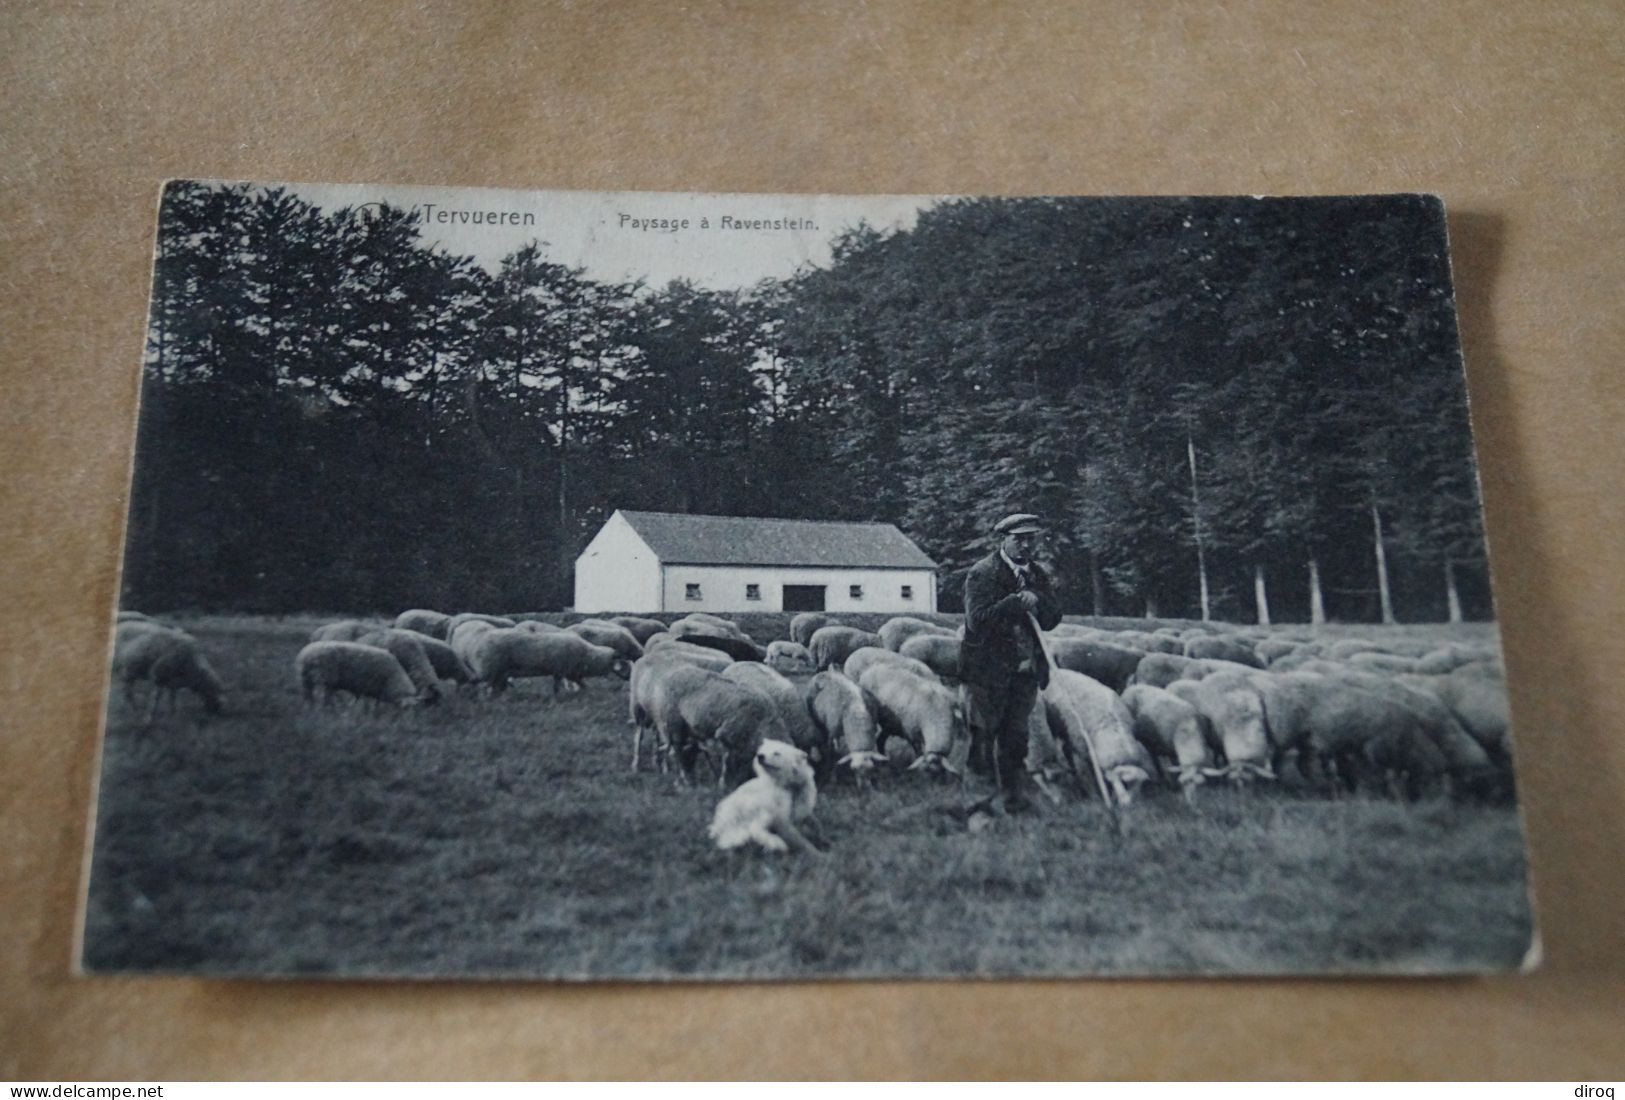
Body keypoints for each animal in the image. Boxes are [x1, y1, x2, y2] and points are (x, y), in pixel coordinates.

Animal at [297, 640, 425, 708]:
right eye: (405, 710)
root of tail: (306, 654)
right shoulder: (369, 685)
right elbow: (369, 705)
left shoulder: (375, 690)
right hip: (323, 678)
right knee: (323, 696)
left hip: (306, 679)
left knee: (308, 695)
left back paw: (310, 708)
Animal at [468, 627, 630, 695]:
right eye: (622, 664)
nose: (629, 678)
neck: (588, 655)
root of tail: (478, 643)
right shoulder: (562, 670)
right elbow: (558, 686)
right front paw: (557, 696)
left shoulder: (569, 671)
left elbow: (580, 683)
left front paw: (586, 691)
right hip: (490, 669)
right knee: (483, 685)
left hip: (499, 673)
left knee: (495, 687)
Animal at [1040, 666, 1157, 802]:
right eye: (1125, 784)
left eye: (1139, 787)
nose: (1128, 805)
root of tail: (1055, 671)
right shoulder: (1081, 749)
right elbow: (1088, 774)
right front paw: (1094, 795)